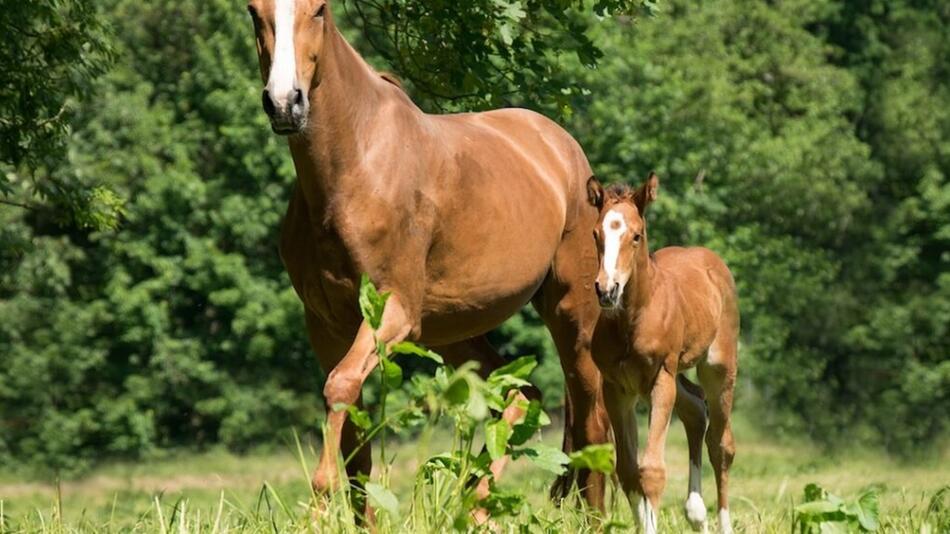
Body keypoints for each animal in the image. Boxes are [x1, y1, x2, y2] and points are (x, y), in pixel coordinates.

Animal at [249, 0, 608, 516]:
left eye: (318, 10)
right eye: (253, 12)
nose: (284, 103)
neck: (354, 165)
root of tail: (564, 149)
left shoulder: (394, 311)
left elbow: (338, 387)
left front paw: (318, 500)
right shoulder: (326, 324)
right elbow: (354, 435)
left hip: (572, 313)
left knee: (591, 418)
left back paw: (590, 516)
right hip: (454, 330)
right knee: (523, 393)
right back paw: (475, 504)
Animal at [588, 174, 744, 532]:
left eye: (636, 235)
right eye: (596, 234)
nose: (607, 290)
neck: (633, 321)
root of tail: (712, 262)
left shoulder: (661, 377)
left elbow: (653, 471)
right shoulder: (618, 388)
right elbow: (628, 471)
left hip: (717, 368)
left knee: (721, 444)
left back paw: (721, 521)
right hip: (672, 378)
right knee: (695, 409)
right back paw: (696, 513)